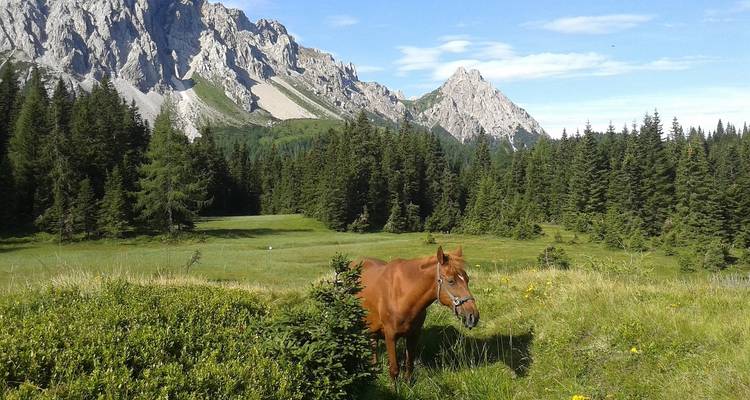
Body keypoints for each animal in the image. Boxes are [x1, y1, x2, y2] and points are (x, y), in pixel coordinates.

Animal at [354, 246, 479, 383]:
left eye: (467, 279)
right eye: (451, 281)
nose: (473, 316)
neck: (402, 294)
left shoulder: (414, 335)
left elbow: (410, 366)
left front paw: (408, 384)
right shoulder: (390, 336)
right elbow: (394, 370)